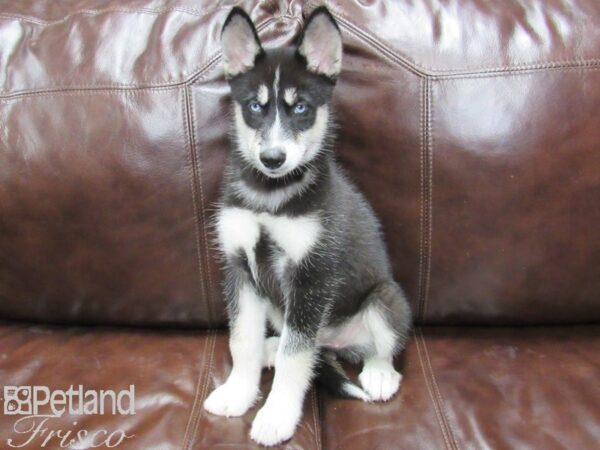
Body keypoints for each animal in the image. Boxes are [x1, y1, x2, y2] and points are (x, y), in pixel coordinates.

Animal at [204, 7, 410, 446]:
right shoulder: (240, 270)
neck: (270, 195)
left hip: (386, 299)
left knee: (376, 348)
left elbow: (295, 359)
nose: (273, 158)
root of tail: (332, 342)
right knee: (294, 345)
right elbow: (241, 340)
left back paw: (380, 374)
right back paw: (271, 349)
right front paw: (237, 392)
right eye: (255, 106)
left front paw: (276, 415)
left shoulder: (311, 277)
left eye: (301, 109)